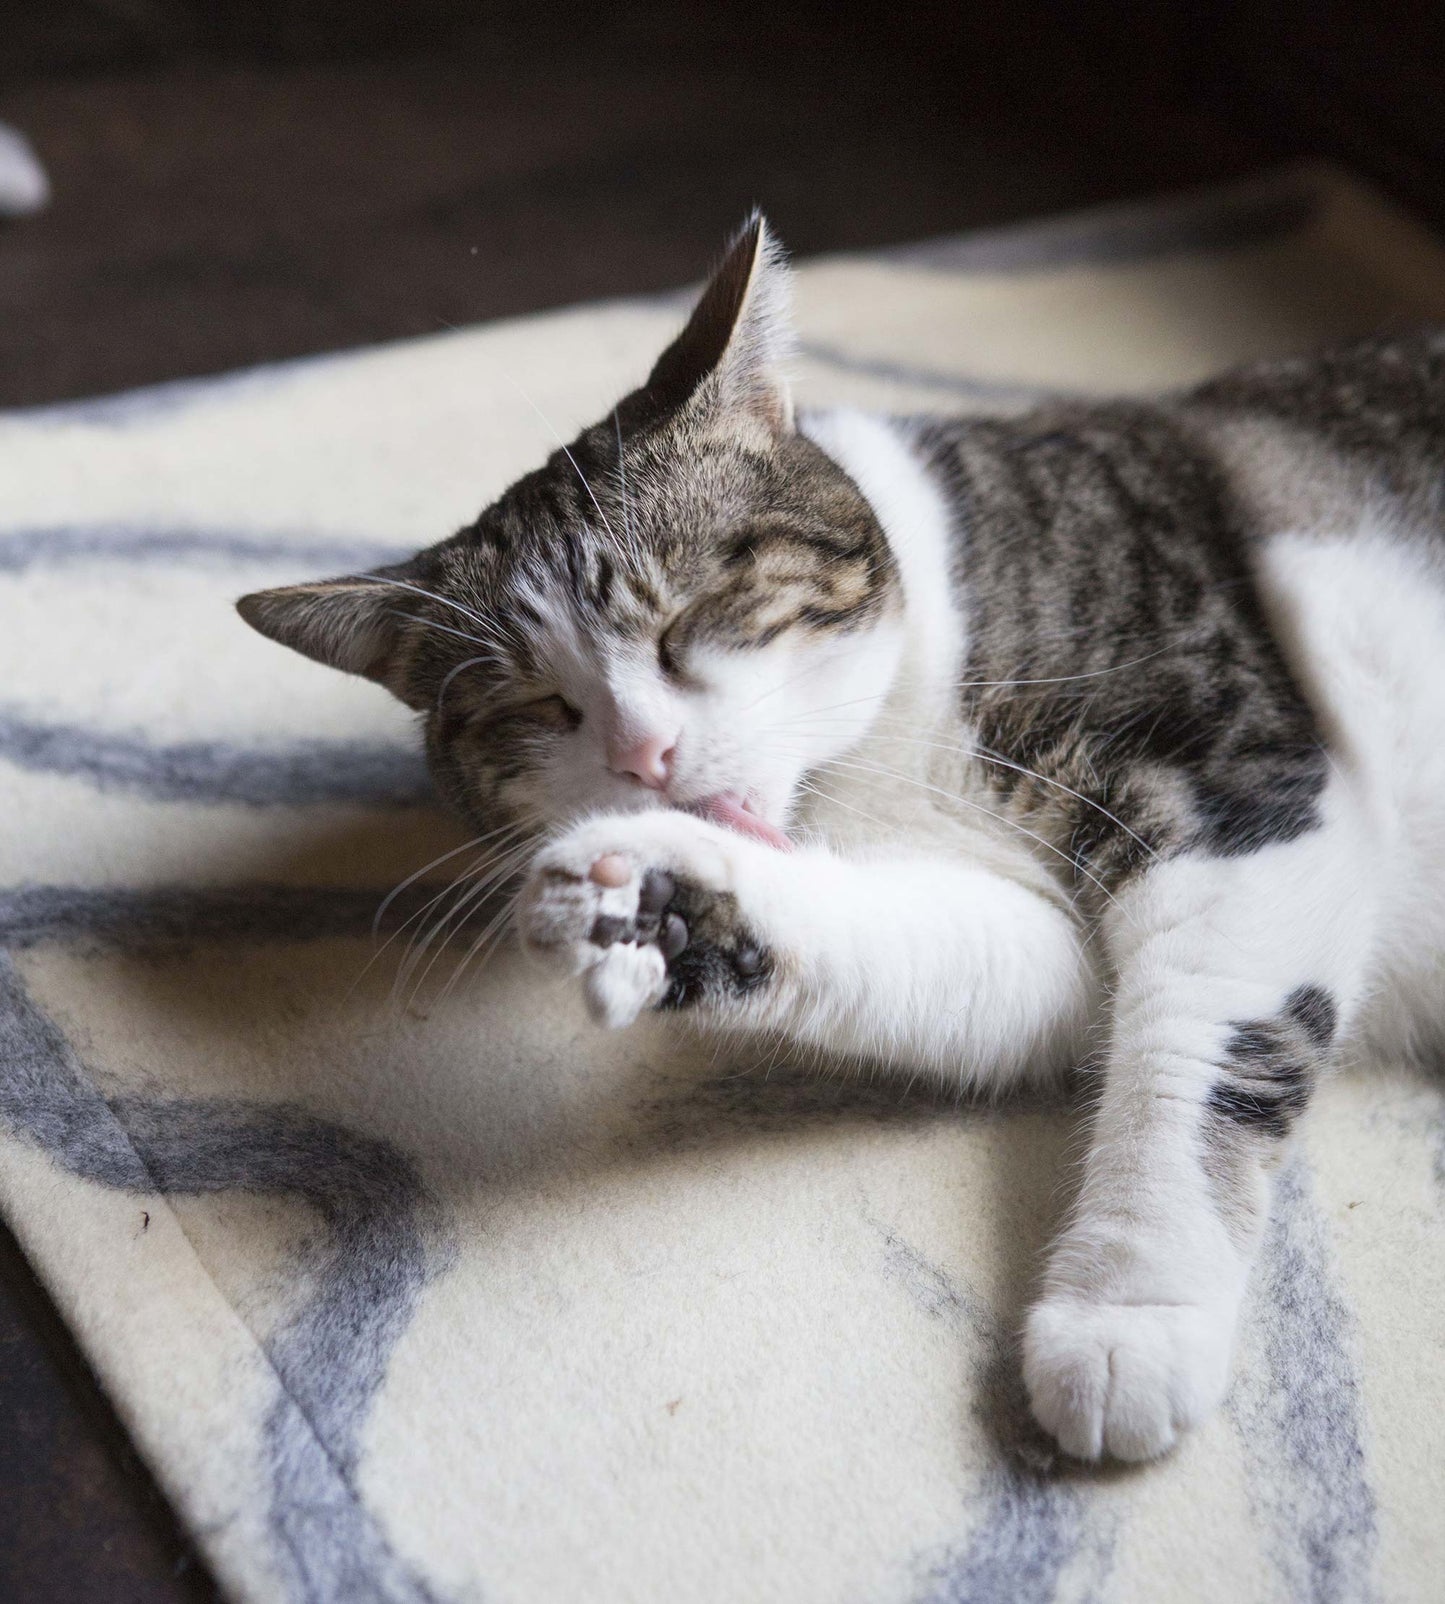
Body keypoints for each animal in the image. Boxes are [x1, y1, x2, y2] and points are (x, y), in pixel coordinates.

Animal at [237, 216, 1443, 1469]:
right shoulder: (1040, 945)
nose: (644, 755)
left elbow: (1193, 1045)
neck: (885, 751)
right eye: (536, 706)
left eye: (682, 618)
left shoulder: (1232, 773)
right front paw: (670, 902)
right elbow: (984, 967)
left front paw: (1127, 1314)